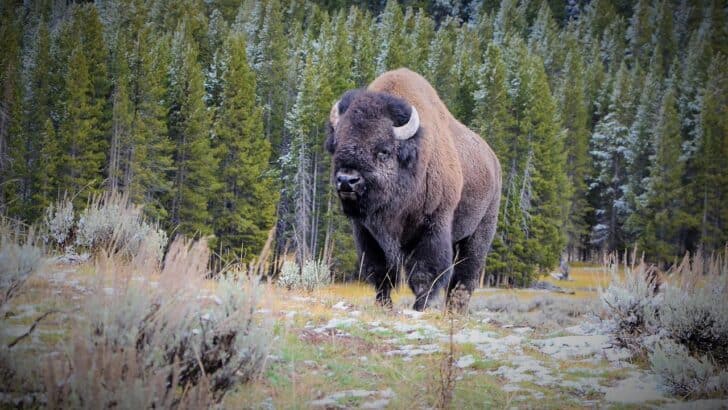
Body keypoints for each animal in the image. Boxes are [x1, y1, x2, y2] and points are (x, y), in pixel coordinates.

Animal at [325, 68, 501, 313]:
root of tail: (493, 161)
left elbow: (424, 274)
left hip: (480, 232)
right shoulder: (367, 233)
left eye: (383, 151)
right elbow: (380, 272)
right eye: (337, 145)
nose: (347, 180)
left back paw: (456, 310)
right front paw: (384, 304)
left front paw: (419, 308)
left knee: (466, 274)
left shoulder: (432, 228)